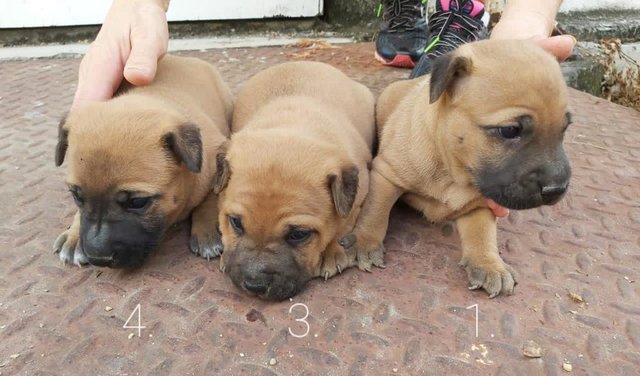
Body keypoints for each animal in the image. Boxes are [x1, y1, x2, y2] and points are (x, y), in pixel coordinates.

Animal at [53, 55, 232, 268]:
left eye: (138, 202)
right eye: (76, 196)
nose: (98, 258)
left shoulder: (218, 156)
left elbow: (212, 195)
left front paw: (207, 229)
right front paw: (74, 235)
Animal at [215, 63, 376, 302]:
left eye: (298, 235)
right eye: (236, 223)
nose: (254, 285)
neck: (293, 125)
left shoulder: (359, 190)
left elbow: (344, 221)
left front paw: (331, 251)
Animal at [342, 41, 572, 298]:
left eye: (565, 128)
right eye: (510, 130)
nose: (557, 189)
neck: (451, 171)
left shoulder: (481, 203)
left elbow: (483, 233)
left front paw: (490, 264)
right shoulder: (386, 175)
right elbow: (375, 210)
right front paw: (364, 241)